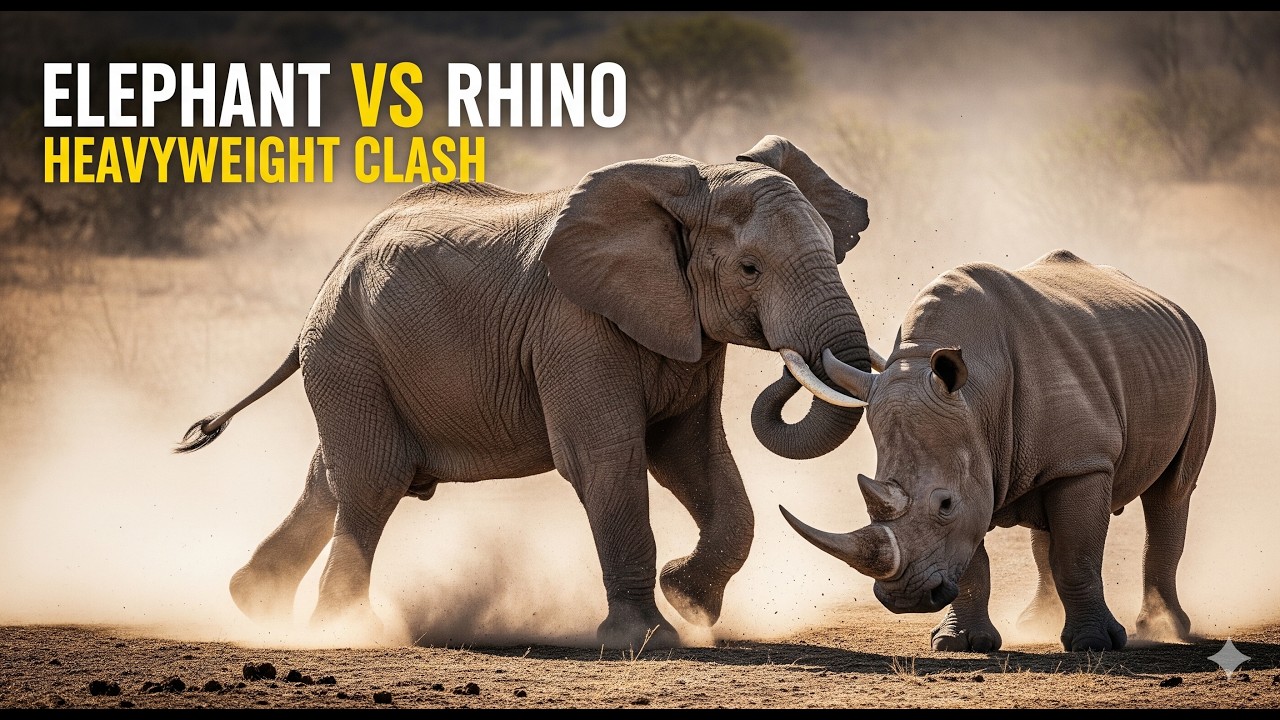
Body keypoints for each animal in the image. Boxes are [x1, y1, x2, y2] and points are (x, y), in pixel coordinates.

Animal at [174, 135, 878, 650]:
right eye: (749, 269)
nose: (797, 363)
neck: (691, 184)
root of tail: (329, 274)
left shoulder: (686, 333)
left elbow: (693, 456)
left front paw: (690, 600)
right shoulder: (574, 326)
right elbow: (606, 459)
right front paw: (646, 639)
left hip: (354, 359)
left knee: (334, 476)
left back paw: (255, 604)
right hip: (348, 351)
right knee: (373, 480)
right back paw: (345, 633)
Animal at [776, 249, 1215, 653]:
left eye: (945, 504)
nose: (905, 598)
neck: (978, 395)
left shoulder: (1083, 463)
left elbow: (1077, 555)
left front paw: (1095, 644)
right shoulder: (976, 456)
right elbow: (975, 561)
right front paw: (960, 643)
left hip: (1199, 360)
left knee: (1172, 491)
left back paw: (1164, 629)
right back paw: (1035, 623)